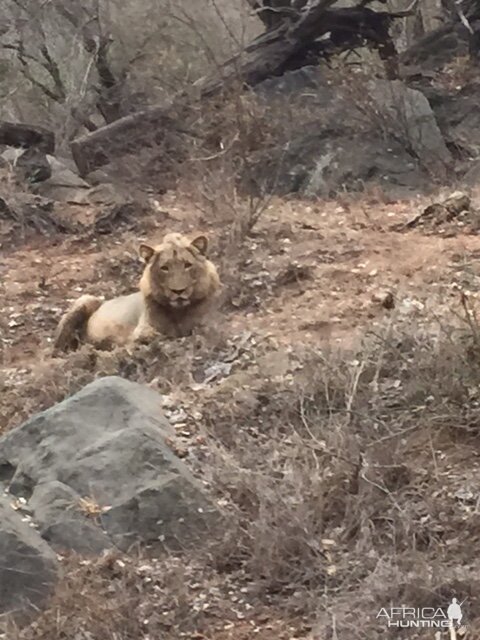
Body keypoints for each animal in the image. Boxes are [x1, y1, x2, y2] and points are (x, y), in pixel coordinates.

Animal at [53, 231, 222, 352]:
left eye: (187, 265)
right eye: (164, 268)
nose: (178, 291)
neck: (179, 312)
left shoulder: (208, 322)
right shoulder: (141, 329)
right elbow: (148, 335)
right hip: (85, 300)